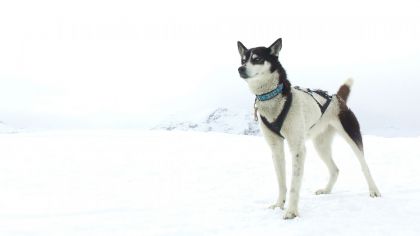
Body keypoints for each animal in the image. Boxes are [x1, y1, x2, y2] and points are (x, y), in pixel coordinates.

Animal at [236, 37, 380, 219]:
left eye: (257, 59)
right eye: (243, 60)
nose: (240, 69)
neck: (274, 99)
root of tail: (337, 98)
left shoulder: (298, 149)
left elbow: (293, 185)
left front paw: (291, 211)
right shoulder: (276, 149)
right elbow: (282, 182)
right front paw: (279, 205)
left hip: (352, 137)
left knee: (364, 165)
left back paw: (374, 191)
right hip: (320, 146)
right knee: (335, 169)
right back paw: (326, 190)